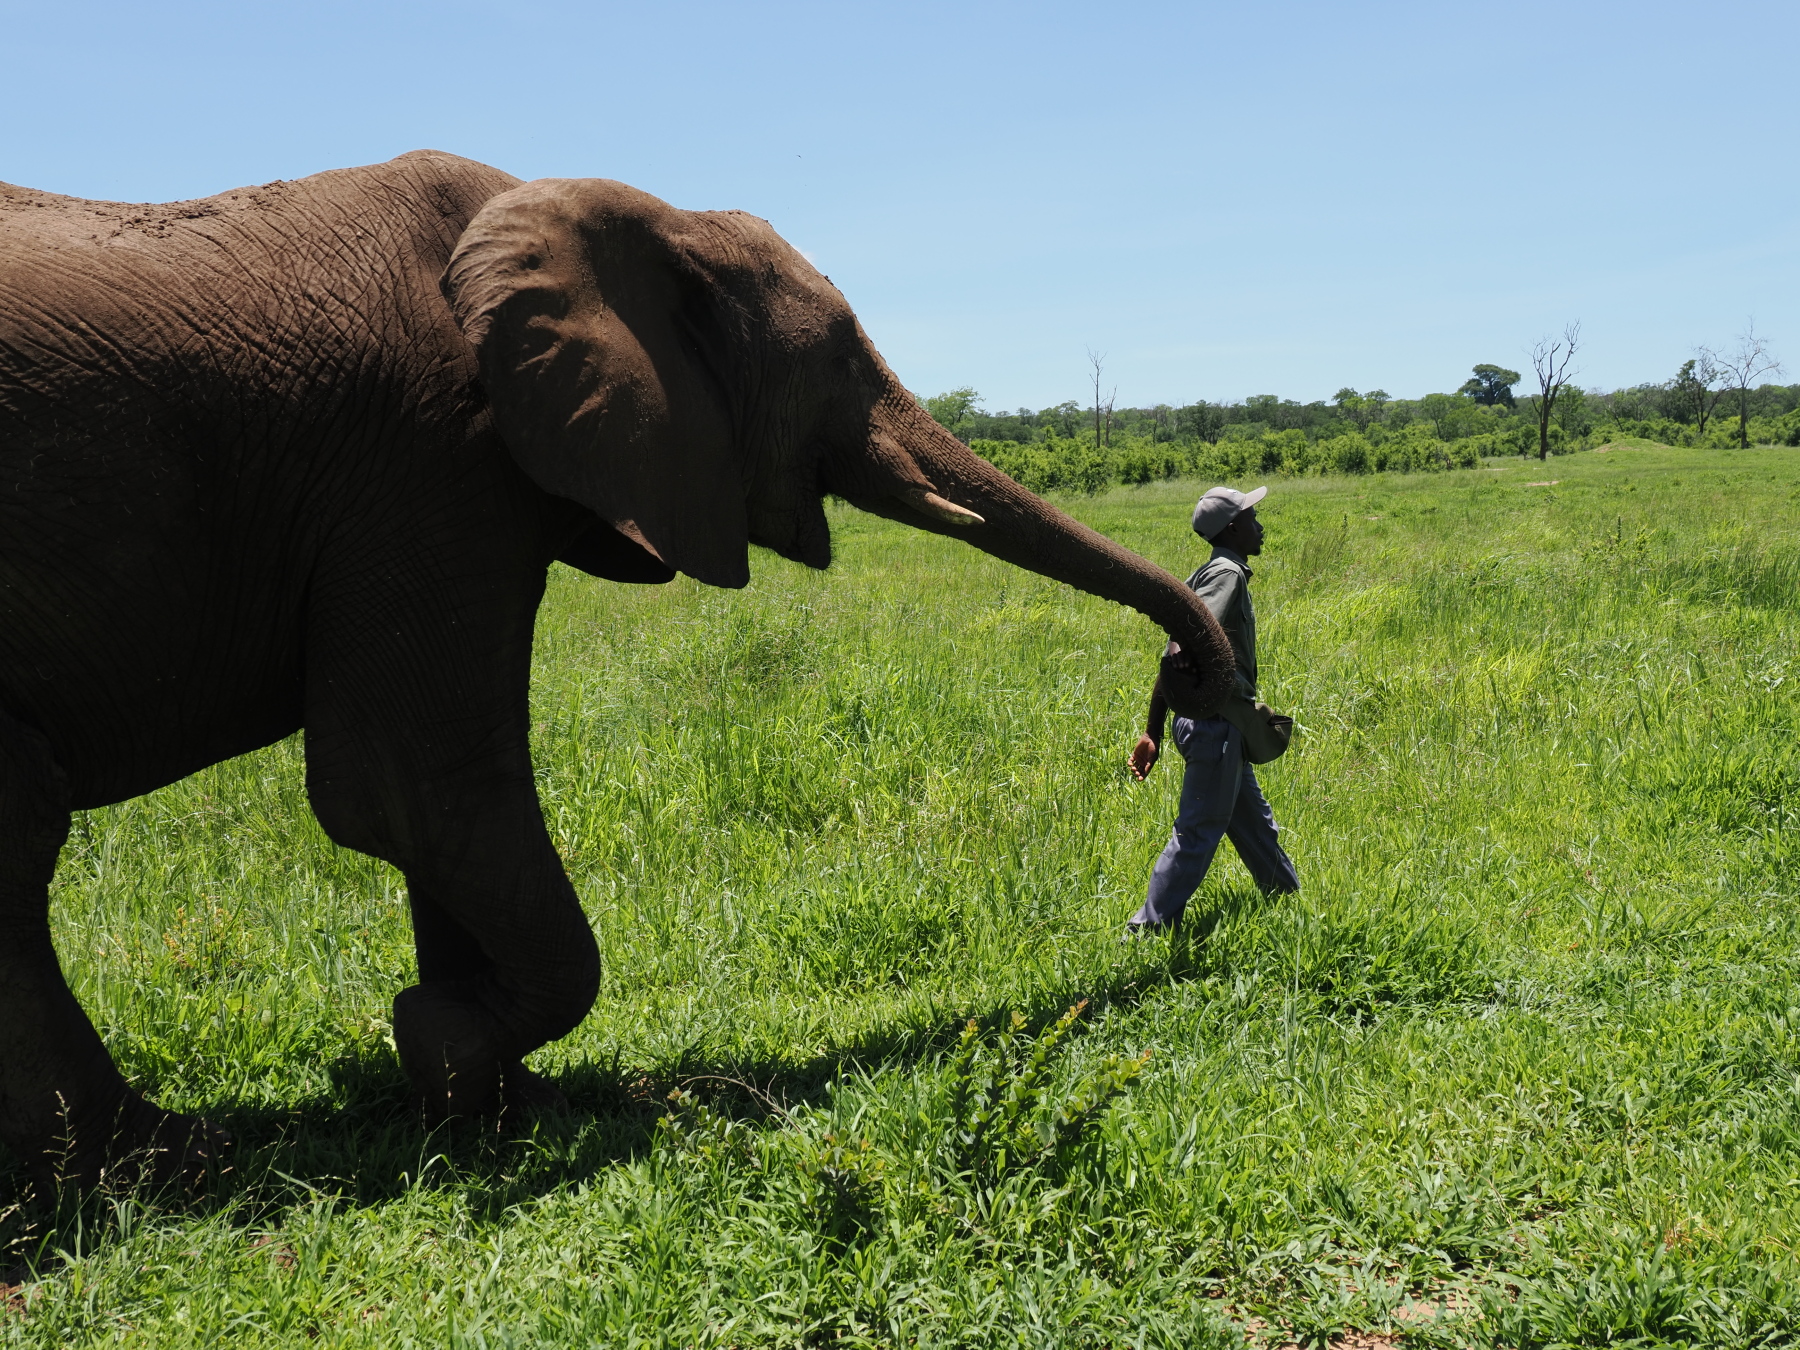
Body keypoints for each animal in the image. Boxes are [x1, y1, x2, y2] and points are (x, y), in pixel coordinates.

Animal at [0, 150, 1234, 1191]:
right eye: (839, 353)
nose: (1200, 684)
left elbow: (436, 816)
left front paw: (490, 1099)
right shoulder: (427, 460)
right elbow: (407, 785)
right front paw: (436, 1047)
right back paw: (155, 1167)